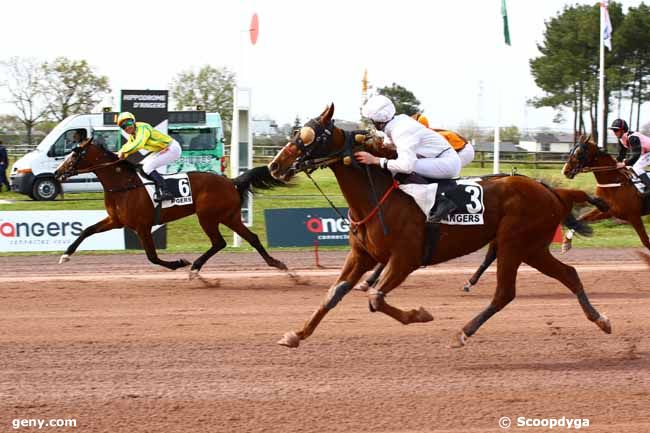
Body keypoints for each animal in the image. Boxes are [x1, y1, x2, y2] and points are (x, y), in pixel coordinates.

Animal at [54, 138, 288, 274]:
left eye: (76, 154)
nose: (57, 172)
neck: (124, 184)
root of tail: (231, 181)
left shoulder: (142, 227)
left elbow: (152, 257)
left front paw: (179, 262)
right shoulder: (116, 220)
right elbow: (87, 230)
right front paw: (66, 255)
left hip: (208, 217)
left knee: (219, 242)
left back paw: (194, 266)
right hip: (228, 216)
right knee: (251, 238)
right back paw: (277, 264)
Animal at [266, 104, 612, 348]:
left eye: (310, 137)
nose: (275, 165)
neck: (378, 195)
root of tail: (549, 190)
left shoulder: (405, 259)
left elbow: (376, 298)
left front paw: (420, 314)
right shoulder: (362, 255)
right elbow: (333, 295)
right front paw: (296, 334)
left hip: (514, 244)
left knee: (504, 293)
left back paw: (463, 332)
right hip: (533, 248)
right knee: (569, 274)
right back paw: (600, 319)